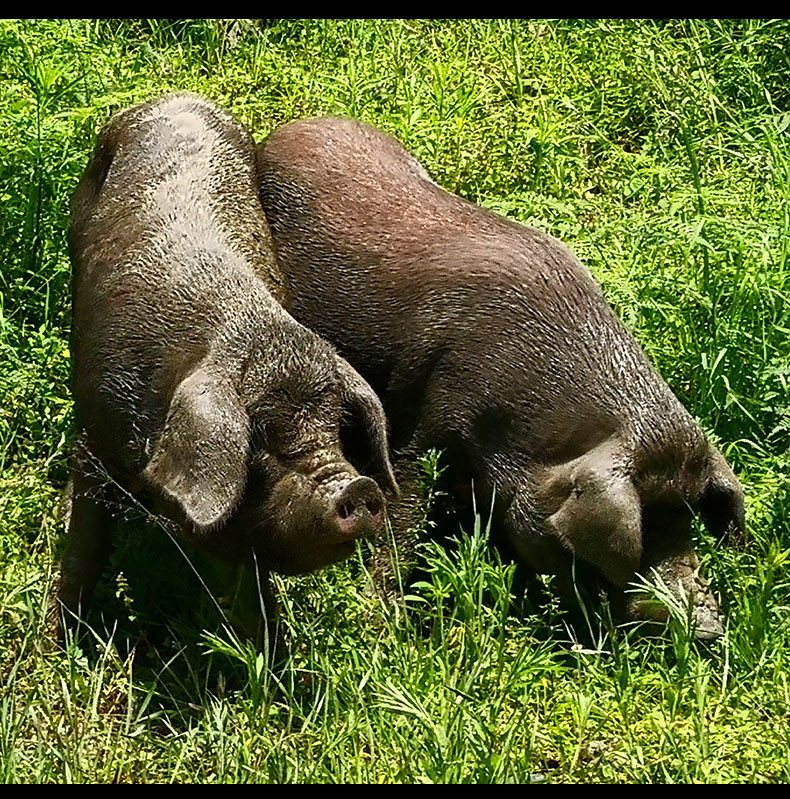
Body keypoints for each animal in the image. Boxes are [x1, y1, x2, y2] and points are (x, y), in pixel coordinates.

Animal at [53, 97, 400, 636]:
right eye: (261, 440)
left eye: (337, 429)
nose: (358, 485)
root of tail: (175, 95)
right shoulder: (99, 430)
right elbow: (84, 545)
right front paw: (60, 637)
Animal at [256, 115, 744, 640]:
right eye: (641, 530)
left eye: (689, 521)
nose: (708, 626)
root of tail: (292, 128)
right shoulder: (433, 412)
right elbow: (404, 506)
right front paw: (385, 621)